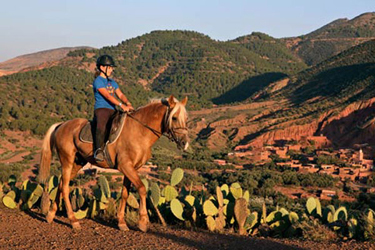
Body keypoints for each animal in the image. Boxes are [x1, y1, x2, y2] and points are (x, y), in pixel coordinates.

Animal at [39, 94, 188, 231]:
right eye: (174, 118)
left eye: (186, 119)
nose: (184, 143)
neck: (139, 131)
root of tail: (61, 125)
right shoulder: (126, 166)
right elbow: (142, 189)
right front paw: (143, 222)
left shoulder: (132, 168)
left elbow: (125, 194)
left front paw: (121, 223)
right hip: (67, 160)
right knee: (64, 187)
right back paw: (73, 221)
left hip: (77, 164)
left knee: (60, 184)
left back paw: (50, 215)